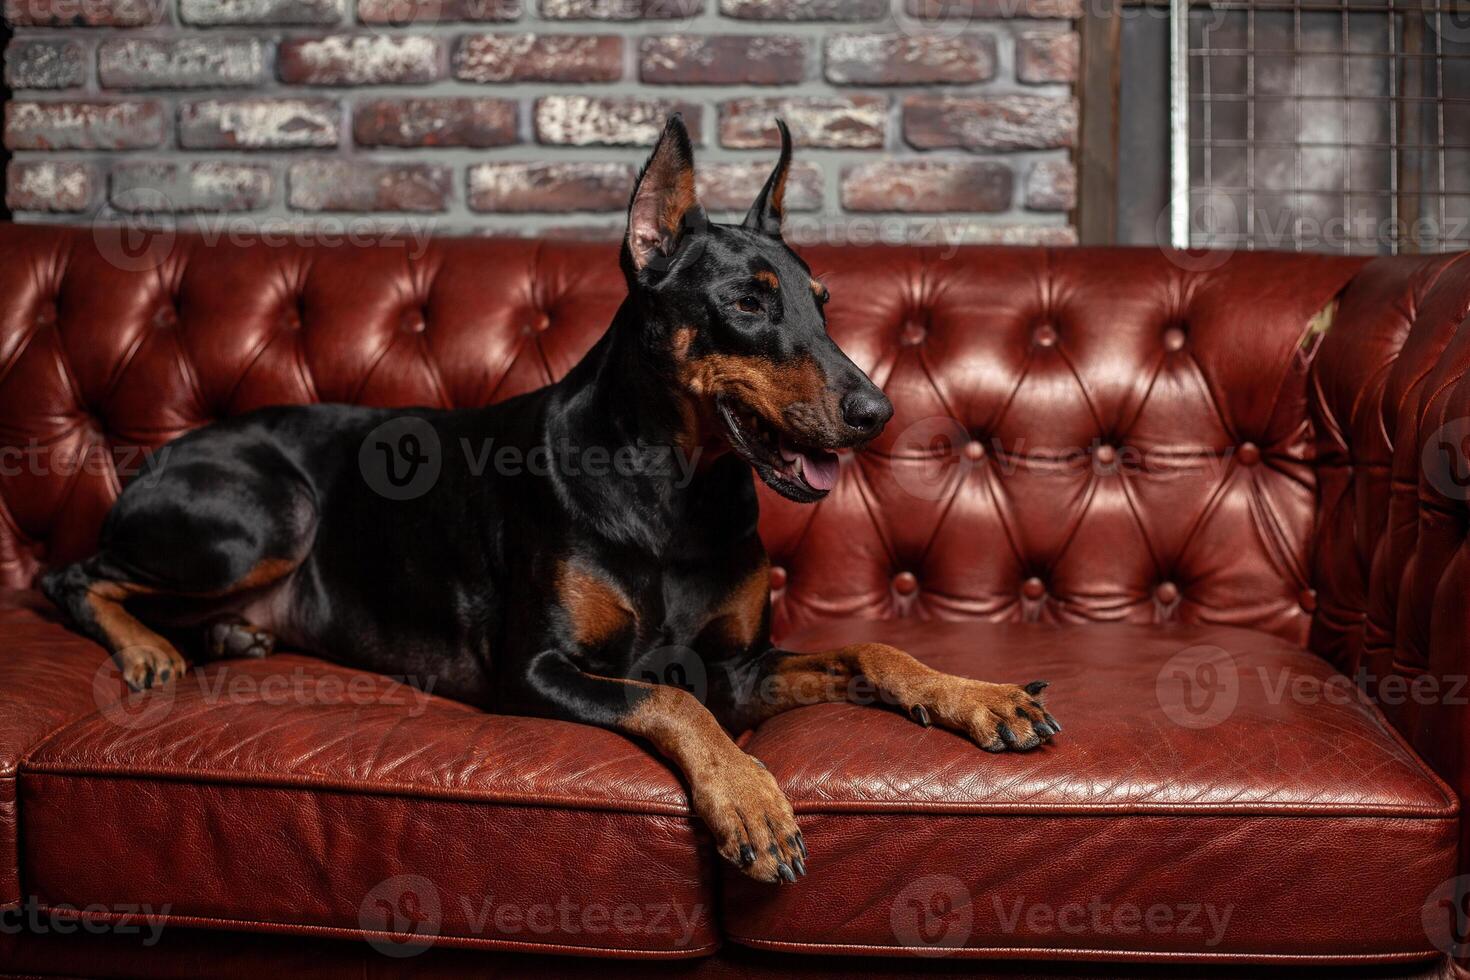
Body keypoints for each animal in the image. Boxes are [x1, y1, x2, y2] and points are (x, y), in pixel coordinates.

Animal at [40, 119, 1058, 887]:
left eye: (823, 299)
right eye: (748, 302)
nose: (877, 412)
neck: (674, 493)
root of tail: (160, 456)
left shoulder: (739, 666)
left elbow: (872, 650)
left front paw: (980, 697)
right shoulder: (533, 671)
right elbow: (667, 699)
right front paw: (751, 799)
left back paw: (226, 636)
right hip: (266, 514)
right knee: (71, 576)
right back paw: (148, 650)